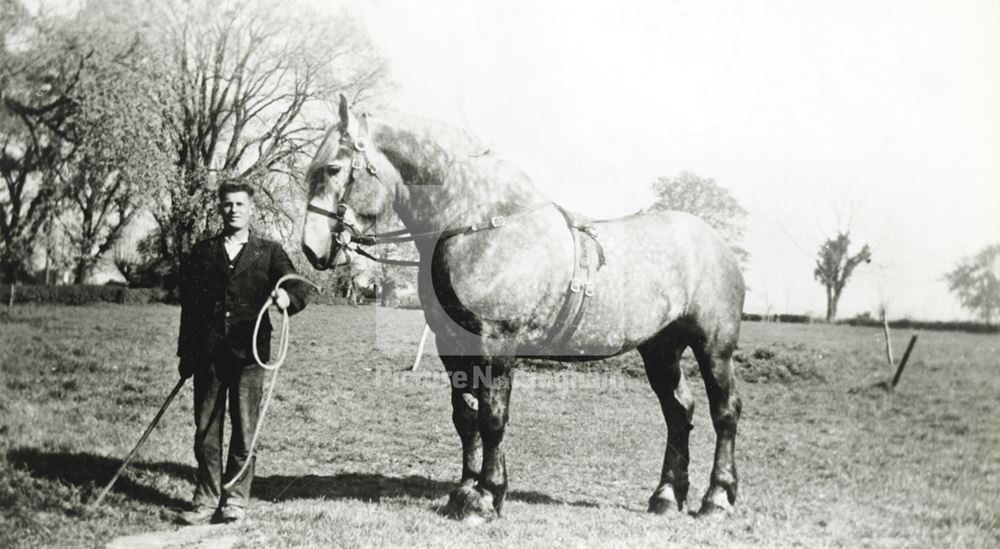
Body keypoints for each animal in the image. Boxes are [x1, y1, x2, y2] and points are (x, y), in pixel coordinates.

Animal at [300, 95, 748, 524]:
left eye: (334, 168)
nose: (312, 248)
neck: (480, 225)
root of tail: (717, 244)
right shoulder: (452, 346)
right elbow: (466, 416)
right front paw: (464, 491)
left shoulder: (495, 344)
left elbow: (493, 418)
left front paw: (486, 496)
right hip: (660, 349)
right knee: (679, 411)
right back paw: (667, 496)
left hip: (713, 348)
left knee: (724, 412)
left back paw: (716, 498)